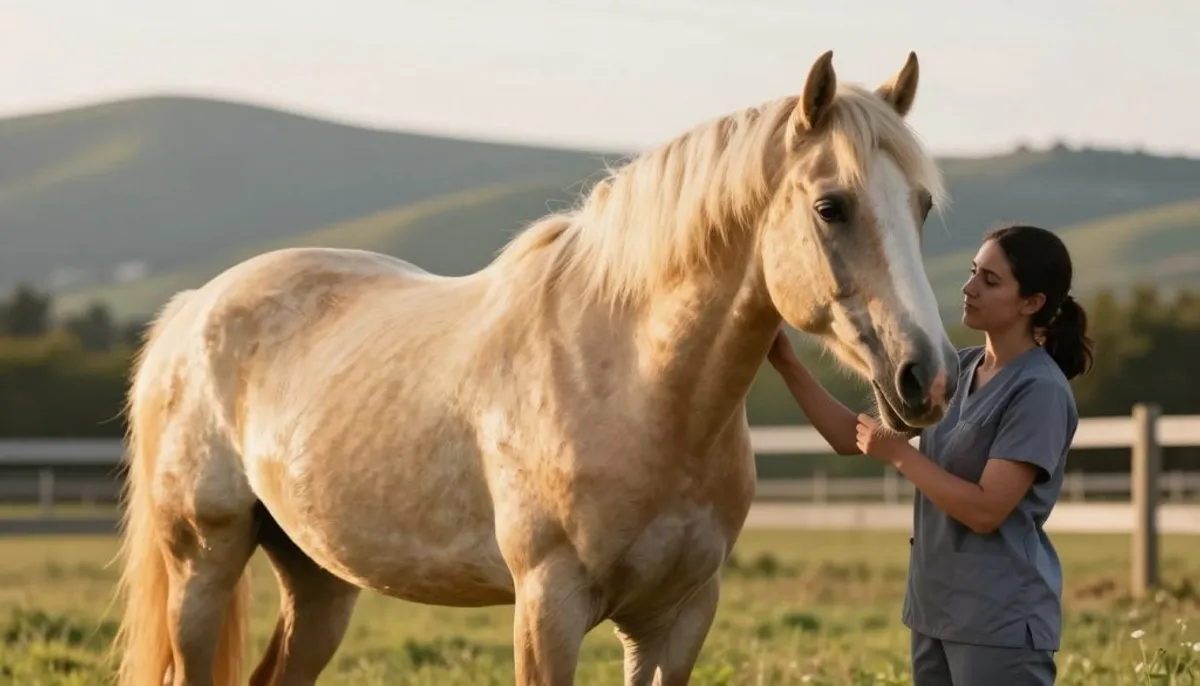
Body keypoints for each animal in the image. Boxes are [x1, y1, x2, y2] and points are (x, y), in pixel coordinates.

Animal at [111, 49, 960, 686]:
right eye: (830, 206)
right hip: (203, 563)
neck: (636, 388)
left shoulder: (678, 617)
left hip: (318, 578)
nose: (929, 376)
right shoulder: (548, 607)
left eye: (920, 206)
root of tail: (194, 308)